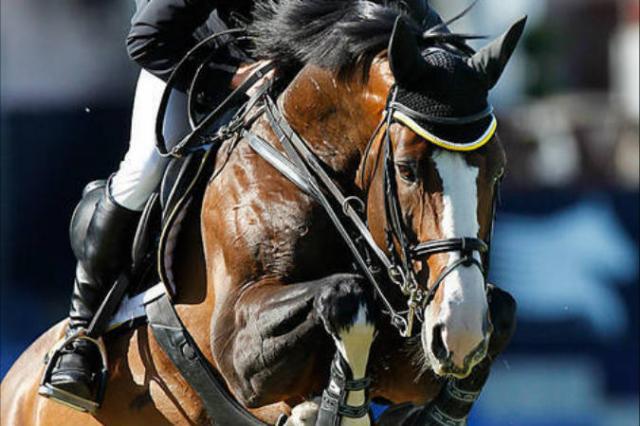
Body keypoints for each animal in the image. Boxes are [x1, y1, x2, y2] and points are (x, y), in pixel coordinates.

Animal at [1, 1, 524, 424]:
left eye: (499, 171)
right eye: (407, 170)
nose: (459, 331)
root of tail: (15, 382)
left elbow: (501, 310)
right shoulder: (237, 350)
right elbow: (345, 294)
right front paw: (335, 408)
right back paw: (74, 364)